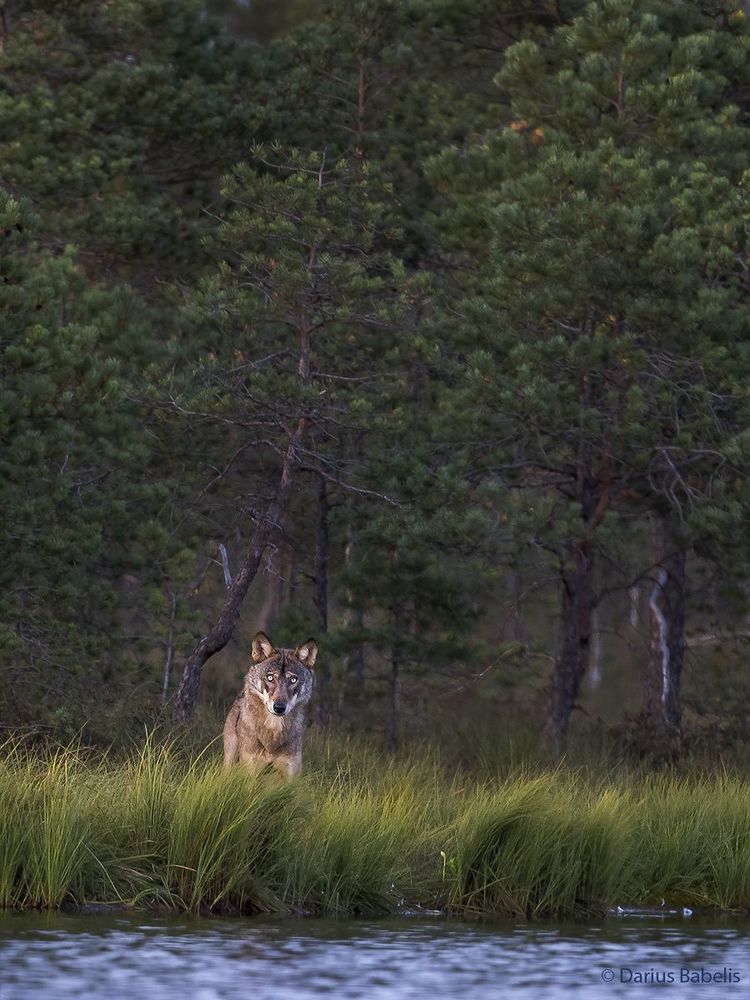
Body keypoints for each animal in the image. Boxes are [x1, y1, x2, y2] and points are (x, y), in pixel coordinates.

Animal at [223, 630, 316, 777]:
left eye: (293, 680)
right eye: (270, 677)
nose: (279, 707)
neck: (274, 730)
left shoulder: (291, 772)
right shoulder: (250, 769)